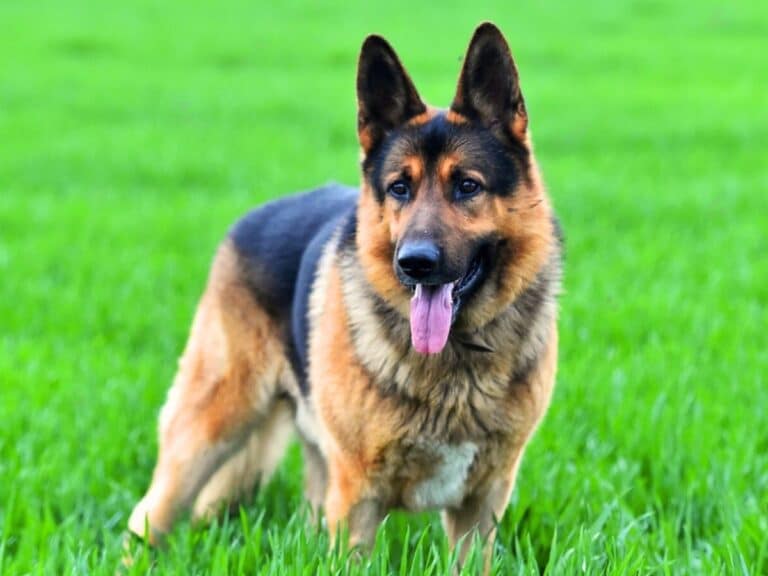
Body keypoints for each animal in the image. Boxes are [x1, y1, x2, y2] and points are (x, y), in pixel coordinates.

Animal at [129, 21, 564, 568]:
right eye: (399, 188)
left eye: (467, 186)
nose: (415, 263)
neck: (453, 368)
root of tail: (251, 217)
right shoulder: (357, 501)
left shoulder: (480, 508)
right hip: (210, 428)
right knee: (147, 515)